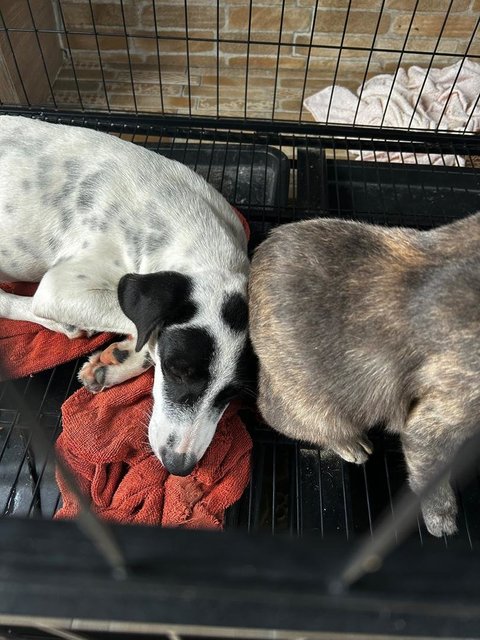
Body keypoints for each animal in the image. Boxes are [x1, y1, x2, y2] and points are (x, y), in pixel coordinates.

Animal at [249, 214, 480, 536]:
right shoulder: (433, 421)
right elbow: (429, 474)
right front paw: (441, 517)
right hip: (314, 403)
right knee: (279, 417)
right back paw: (349, 443)